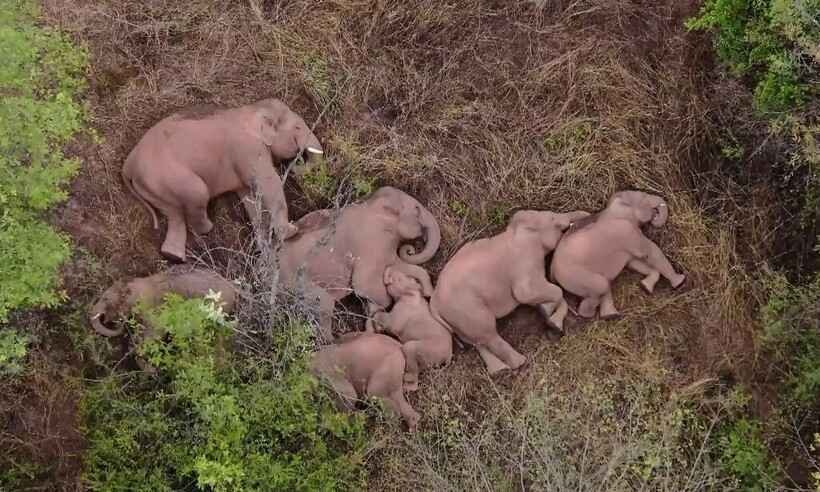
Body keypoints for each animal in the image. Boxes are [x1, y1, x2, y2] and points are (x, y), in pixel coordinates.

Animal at [122, 98, 324, 262]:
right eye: (297, 128)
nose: (297, 163)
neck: (250, 109)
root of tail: (128, 163)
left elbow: (249, 197)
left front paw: (264, 248)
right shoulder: (248, 149)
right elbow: (268, 182)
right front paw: (291, 231)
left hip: (153, 187)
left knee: (174, 214)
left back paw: (173, 256)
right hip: (169, 177)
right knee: (198, 194)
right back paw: (207, 229)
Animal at [280, 186, 441, 341]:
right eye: (417, 209)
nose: (411, 250)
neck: (371, 203)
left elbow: (397, 265)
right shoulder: (371, 242)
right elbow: (363, 285)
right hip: (298, 282)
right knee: (323, 304)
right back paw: (337, 339)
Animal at [430, 209, 590, 375]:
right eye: (552, 217)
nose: (586, 214)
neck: (516, 230)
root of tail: (434, 303)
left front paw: (549, 316)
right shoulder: (525, 260)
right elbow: (528, 293)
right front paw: (547, 314)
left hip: (457, 319)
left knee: (476, 340)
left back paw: (499, 370)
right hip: (467, 309)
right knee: (488, 333)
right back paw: (519, 362)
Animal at [550, 190, 686, 321]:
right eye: (642, 196)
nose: (655, 216)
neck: (610, 208)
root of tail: (552, 272)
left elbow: (634, 262)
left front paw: (645, 287)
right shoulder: (627, 231)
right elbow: (650, 252)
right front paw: (680, 282)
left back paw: (611, 316)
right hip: (575, 276)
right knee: (602, 286)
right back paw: (588, 316)